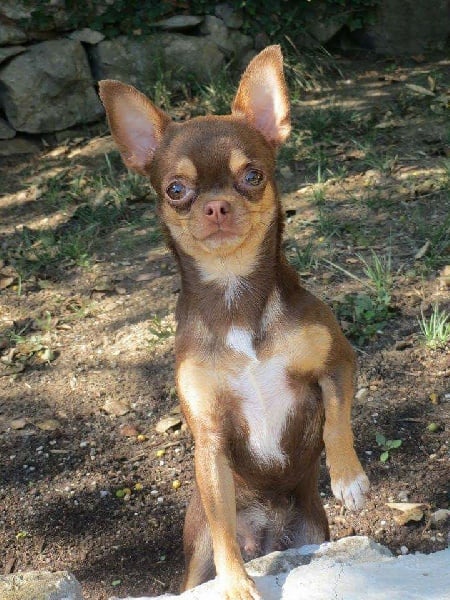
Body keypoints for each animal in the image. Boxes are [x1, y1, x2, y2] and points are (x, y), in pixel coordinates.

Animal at [99, 45, 369, 600]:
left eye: (252, 176)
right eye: (175, 189)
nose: (217, 205)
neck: (234, 297)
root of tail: (268, 536)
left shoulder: (336, 362)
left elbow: (337, 420)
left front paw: (348, 477)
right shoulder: (211, 438)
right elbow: (224, 526)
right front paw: (237, 584)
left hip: (312, 532)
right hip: (196, 555)